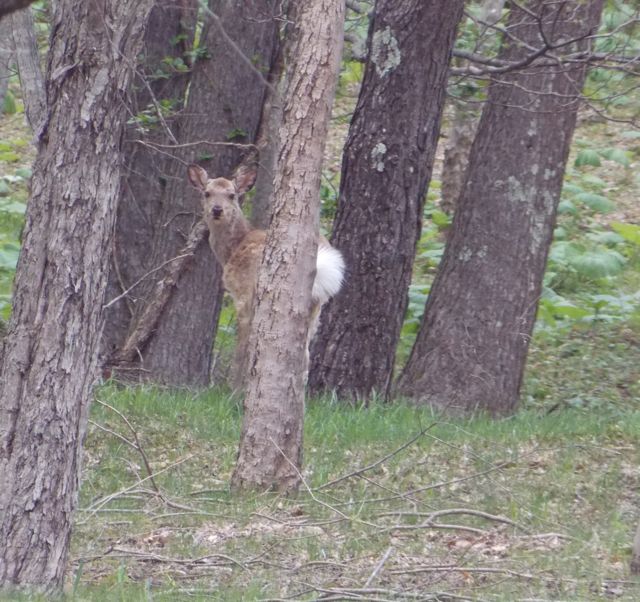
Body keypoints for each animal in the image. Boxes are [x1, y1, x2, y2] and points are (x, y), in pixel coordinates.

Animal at [188, 163, 344, 390]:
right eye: (207, 193)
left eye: (232, 195)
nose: (217, 209)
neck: (232, 250)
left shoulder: (242, 294)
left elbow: (243, 344)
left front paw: (234, 387)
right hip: (316, 307)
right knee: (304, 356)